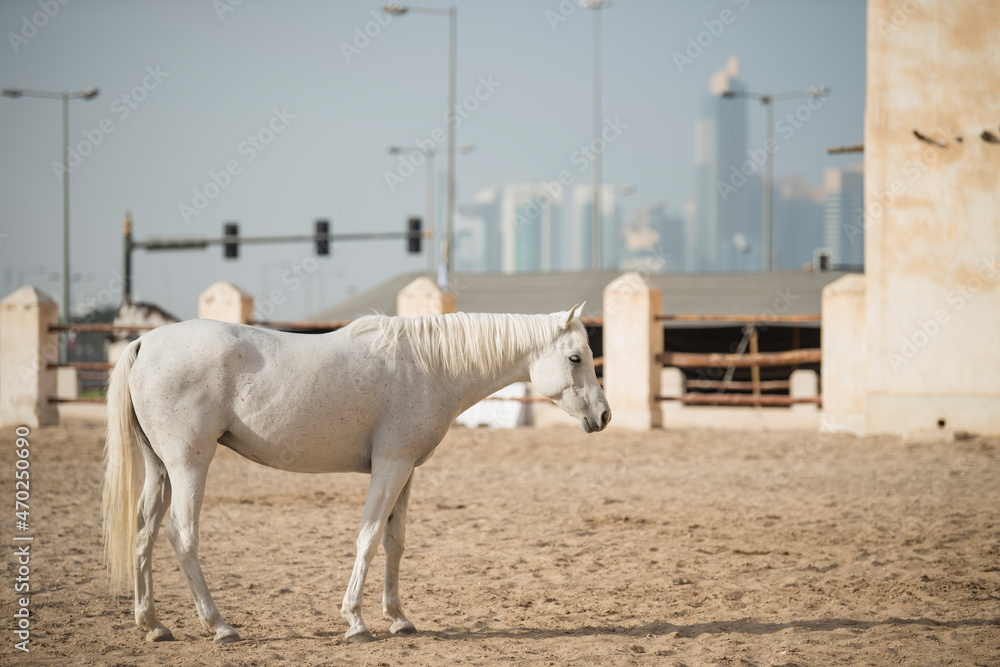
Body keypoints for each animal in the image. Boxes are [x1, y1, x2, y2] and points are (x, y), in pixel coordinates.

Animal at [101, 305, 610, 644]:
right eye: (575, 357)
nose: (604, 416)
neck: (429, 365)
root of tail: (144, 342)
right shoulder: (389, 467)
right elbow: (368, 537)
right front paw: (356, 622)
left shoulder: (406, 470)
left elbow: (394, 542)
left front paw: (399, 618)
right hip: (190, 464)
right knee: (181, 535)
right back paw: (219, 625)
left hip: (161, 469)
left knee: (145, 533)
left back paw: (153, 626)